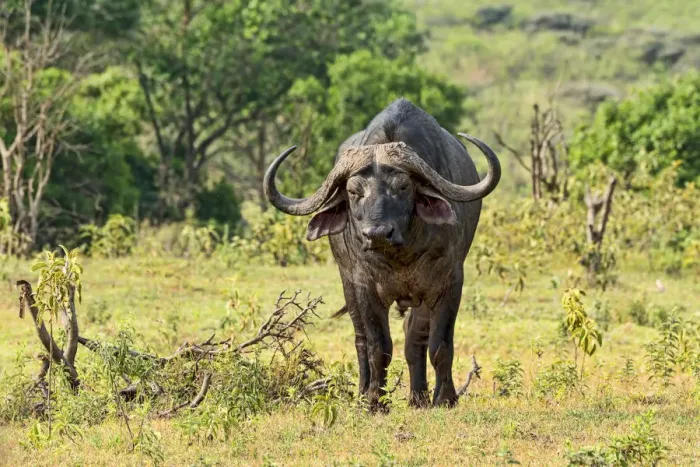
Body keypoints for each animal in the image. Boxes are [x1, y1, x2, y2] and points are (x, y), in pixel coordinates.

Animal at [264, 98, 501, 409]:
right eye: (353, 191)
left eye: (403, 186)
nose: (377, 233)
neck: (400, 254)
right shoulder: (365, 288)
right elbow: (379, 347)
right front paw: (375, 401)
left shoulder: (448, 283)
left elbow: (437, 345)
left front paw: (443, 398)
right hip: (348, 285)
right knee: (361, 340)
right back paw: (364, 391)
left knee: (414, 340)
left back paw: (418, 397)